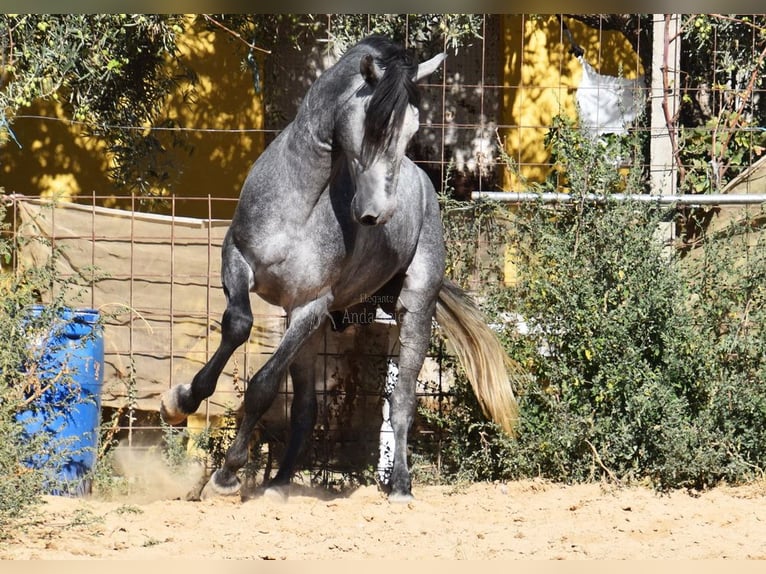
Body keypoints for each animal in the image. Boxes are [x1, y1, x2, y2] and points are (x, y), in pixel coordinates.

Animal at [161, 37, 520, 504]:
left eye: (411, 129)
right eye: (373, 124)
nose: (377, 213)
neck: (297, 207)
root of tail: (425, 184)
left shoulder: (312, 305)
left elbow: (263, 385)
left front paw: (226, 476)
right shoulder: (238, 263)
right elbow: (238, 325)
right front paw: (180, 400)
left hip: (411, 311)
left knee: (401, 403)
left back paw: (400, 486)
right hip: (309, 330)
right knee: (306, 408)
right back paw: (279, 484)